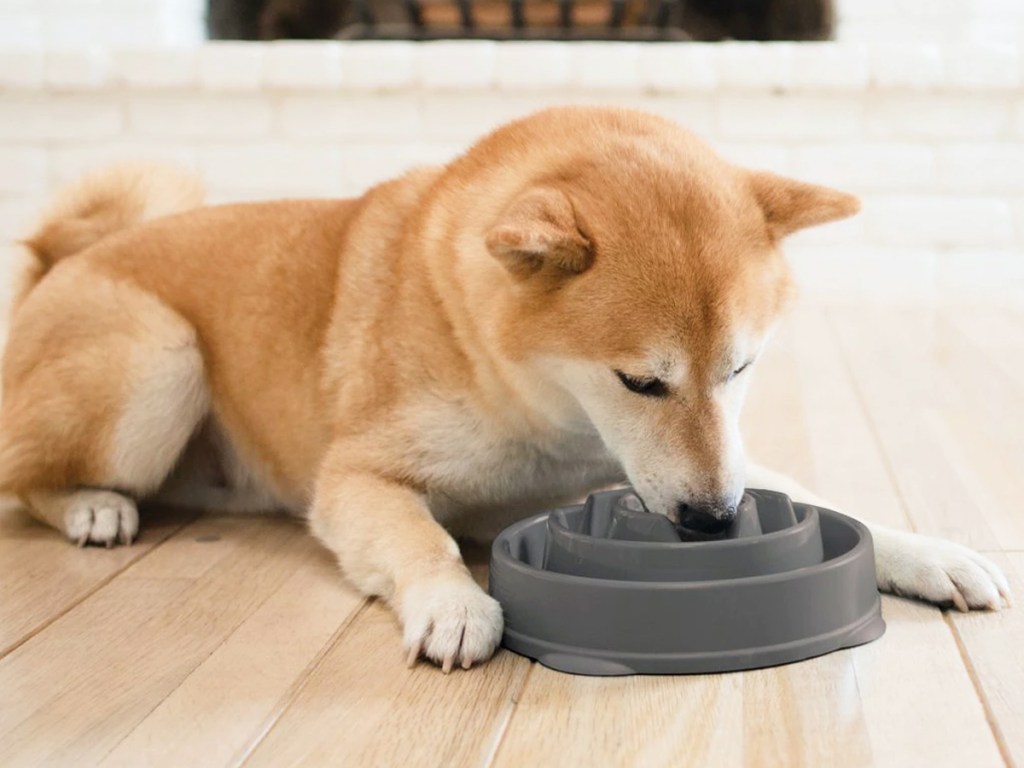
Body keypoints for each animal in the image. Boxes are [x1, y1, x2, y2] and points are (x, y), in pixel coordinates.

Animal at [0, 107, 1007, 671]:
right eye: (641, 381)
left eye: (742, 369)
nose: (714, 523)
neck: (552, 419)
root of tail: (66, 260)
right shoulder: (358, 477)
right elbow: (422, 539)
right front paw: (451, 604)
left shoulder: (702, 460)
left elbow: (827, 501)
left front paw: (932, 554)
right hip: (161, 361)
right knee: (24, 479)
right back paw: (90, 506)